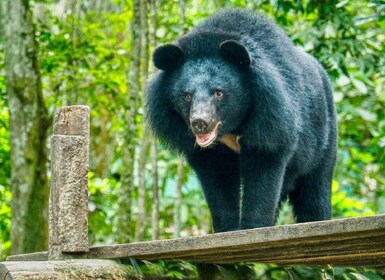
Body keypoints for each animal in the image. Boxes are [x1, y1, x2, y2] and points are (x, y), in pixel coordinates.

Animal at [145, 8, 336, 232]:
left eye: (218, 93)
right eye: (187, 95)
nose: (199, 123)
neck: (231, 128)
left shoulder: (271, 121)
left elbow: (263, 171)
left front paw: (252, 227)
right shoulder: (206, 150)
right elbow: (218, 181)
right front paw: (226, 229)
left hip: (323, 139)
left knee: (315, 188)